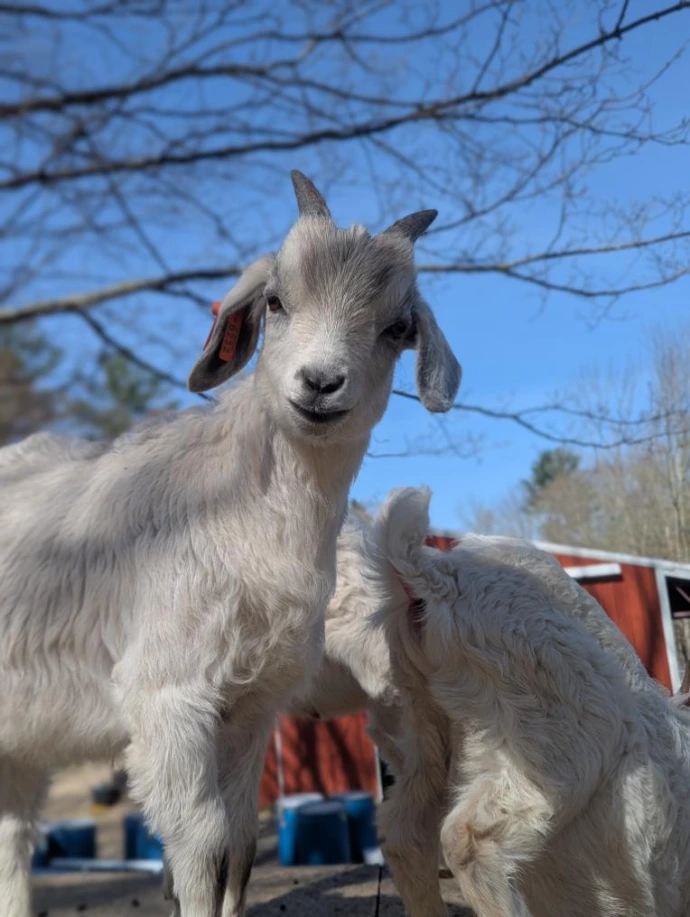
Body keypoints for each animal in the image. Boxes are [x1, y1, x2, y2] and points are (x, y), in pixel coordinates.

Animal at [0, 173, 461, 917]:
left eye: (397, 328)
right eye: (275, 301)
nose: (320, 384)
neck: (237, 511)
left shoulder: (252, 705)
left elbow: (238, 841)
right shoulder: (169, 695)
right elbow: (201, 844)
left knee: (13, 835)